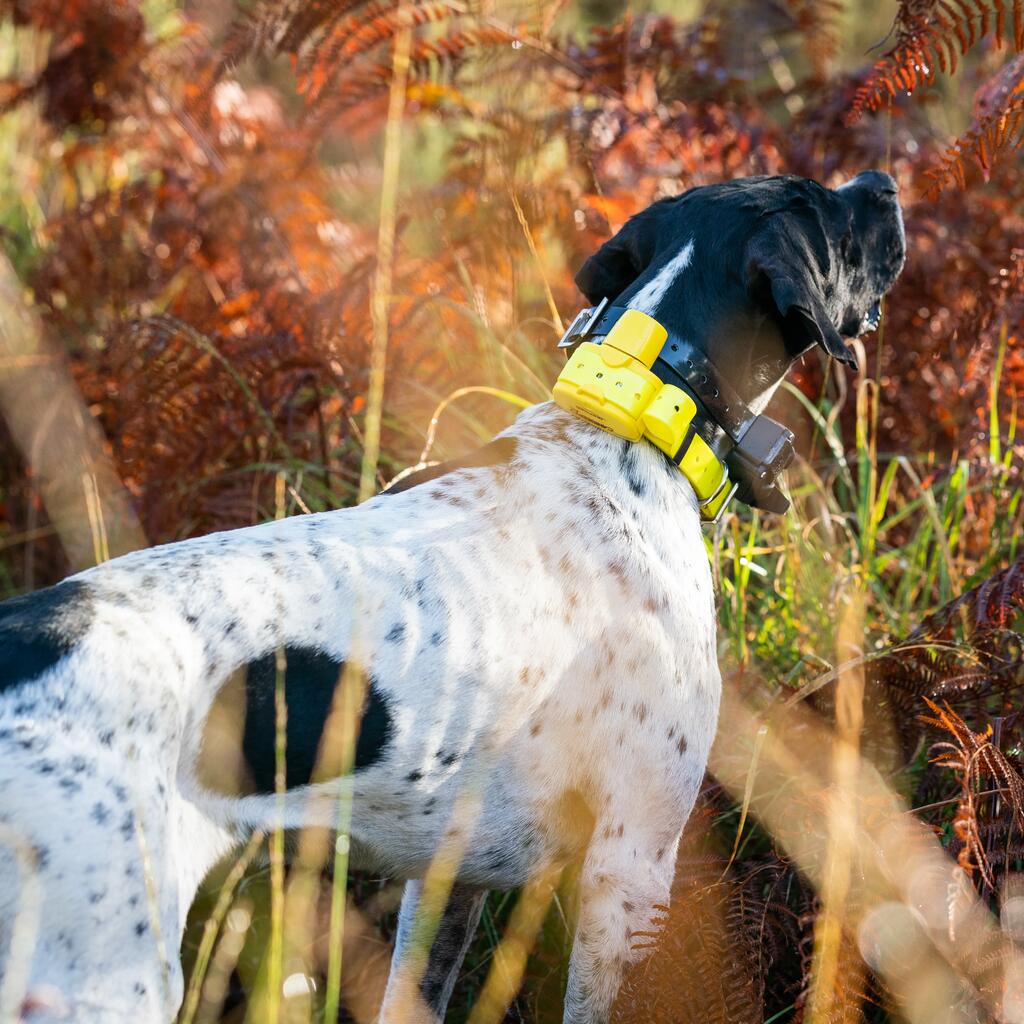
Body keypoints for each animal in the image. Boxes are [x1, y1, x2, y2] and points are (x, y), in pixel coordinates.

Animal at [0, 172, 909, 1019]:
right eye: (827, 213)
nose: (883, 185)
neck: (629, 422)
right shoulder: (630, 872)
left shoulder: (449, 876)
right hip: (102, 974)